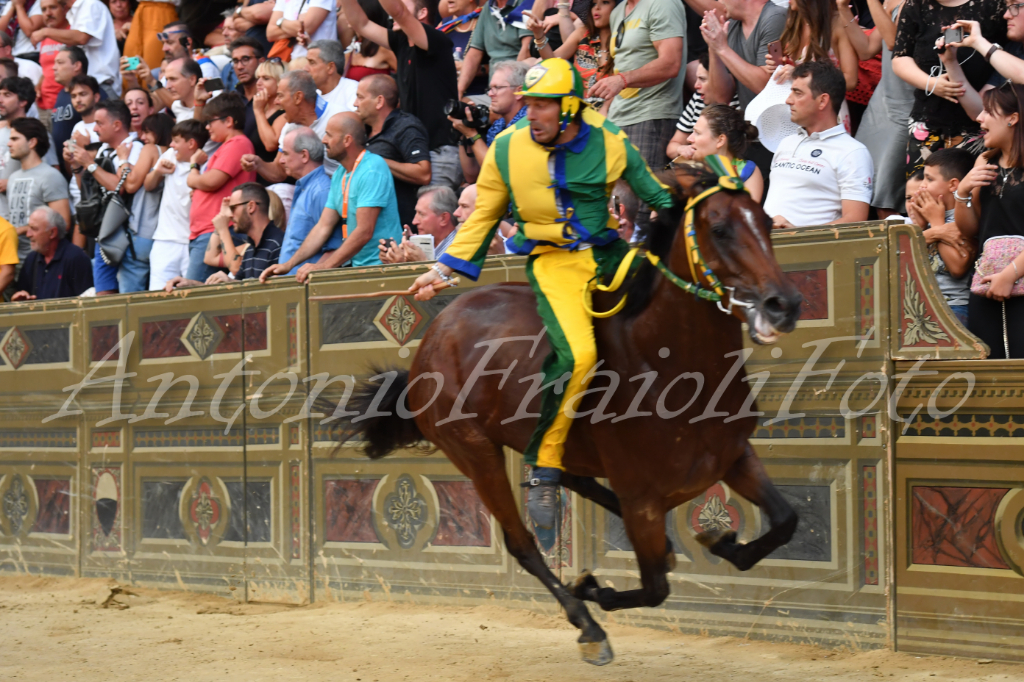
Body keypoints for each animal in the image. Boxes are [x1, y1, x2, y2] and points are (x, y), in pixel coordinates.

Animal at [346, 164, 806, 663]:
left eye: (766, 222)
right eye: (720, 229)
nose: (784, 304)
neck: (667, 362)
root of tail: (435, 335)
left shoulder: (733, 457)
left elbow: (785, 521)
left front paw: (720, 540)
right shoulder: (641, 497)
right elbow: (654, 587)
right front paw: (592, 590)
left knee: (567, 479)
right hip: (475, 452)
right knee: (522, 542)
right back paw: (587, 624)